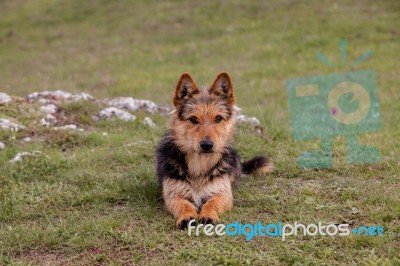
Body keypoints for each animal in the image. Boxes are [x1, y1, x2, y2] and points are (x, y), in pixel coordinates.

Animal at [155, 72, 274, 229]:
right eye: (193, 119)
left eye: (218, 118)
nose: (207, 145)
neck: (200, 164)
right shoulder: (173, 194)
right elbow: (184, 205)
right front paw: (187, 217)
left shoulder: (222, 192)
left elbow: (212, 202)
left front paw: (208, 215)